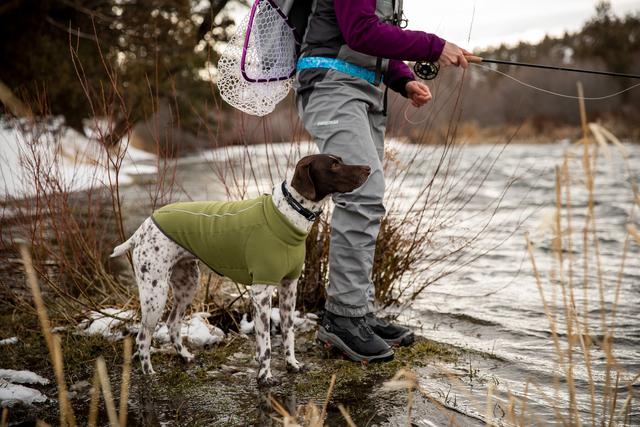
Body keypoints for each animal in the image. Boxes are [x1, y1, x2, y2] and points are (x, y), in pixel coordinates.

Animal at [110, 155, 370, 388]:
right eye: (334, 164)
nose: (368, 168)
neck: (289, 214)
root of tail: (142, 228)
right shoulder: (261, 292)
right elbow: (266, 344)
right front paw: (265, 377)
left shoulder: (289, 288)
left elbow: (288, 333)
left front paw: (292, 365)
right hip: (155, 294)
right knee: (143, 337)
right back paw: (149, 374)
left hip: (186, 285)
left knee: (173, 324)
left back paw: (185, 356)